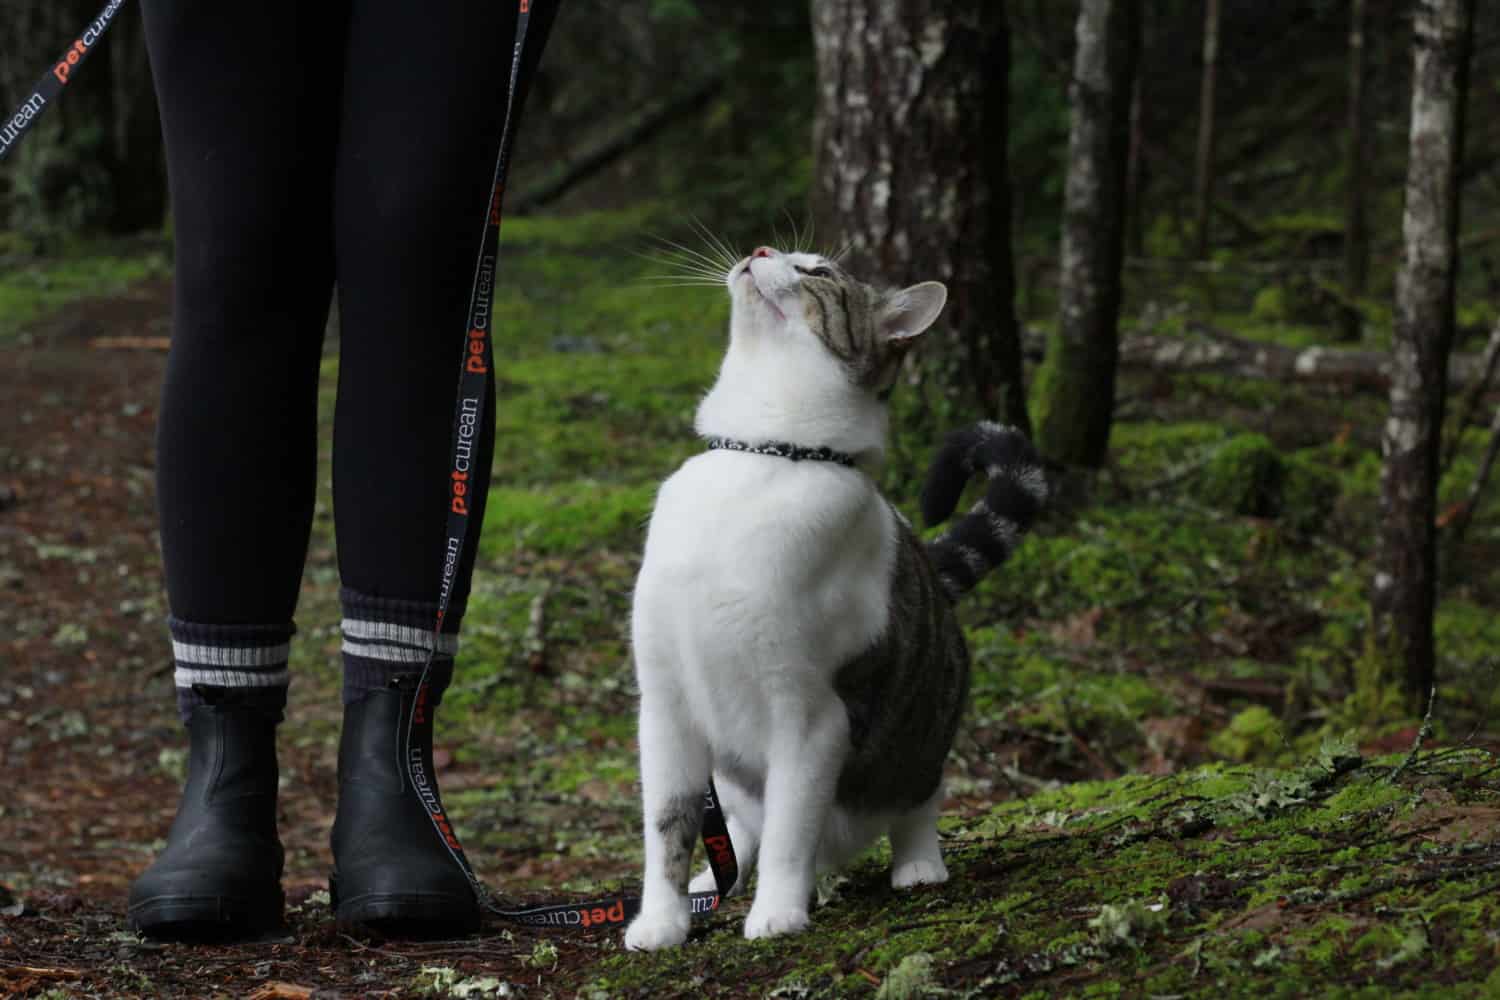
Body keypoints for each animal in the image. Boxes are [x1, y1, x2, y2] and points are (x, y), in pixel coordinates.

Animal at [621, 245, 1044, 953]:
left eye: (815, 270)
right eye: (777, 249)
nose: (761, 251)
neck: (763, 456)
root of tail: (930, 569)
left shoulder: (809, 714)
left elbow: (791, 828)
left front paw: (778, 914)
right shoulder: (665, 705)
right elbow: (667, 827)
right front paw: (661, 921)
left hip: (925, 724)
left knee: (916, 795)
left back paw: (917, 864)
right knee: (739, 827)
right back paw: (718, 879)